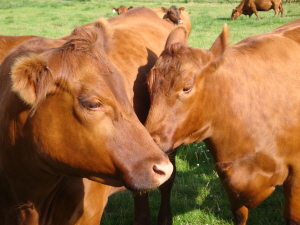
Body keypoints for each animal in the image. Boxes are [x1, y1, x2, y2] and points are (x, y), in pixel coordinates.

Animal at [145, 19, 300, 225]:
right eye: (148, 84)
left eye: (186, 87)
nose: (150, 144)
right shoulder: (228, 176)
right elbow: (240, 215)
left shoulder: (296, 172)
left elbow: (293, 216)